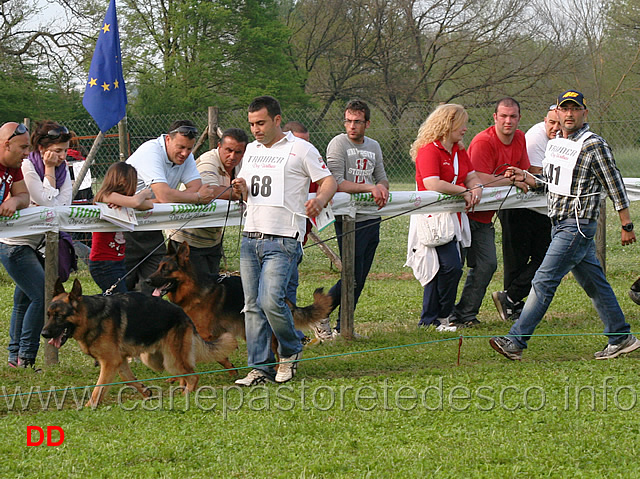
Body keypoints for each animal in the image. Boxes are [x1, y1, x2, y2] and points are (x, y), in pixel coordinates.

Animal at [42, 278, 238, 408]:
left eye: (59, 316)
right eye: (48, 315)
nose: (44, 334)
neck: (90, 316)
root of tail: (183, 314)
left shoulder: (110, 362)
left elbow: (99, 388)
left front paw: (89, 407)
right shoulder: (118, 361)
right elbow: (128, 379)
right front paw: (145, 391)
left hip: (170, 359)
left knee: (193, 375)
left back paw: (187, 395)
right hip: (154, 359)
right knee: (187, 371)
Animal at [147, 242, 332, 374]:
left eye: (166, 270)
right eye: (157, 267)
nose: (147, 281)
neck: (194, 289)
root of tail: (284, 298)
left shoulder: (205, 334)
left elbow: (219, 354)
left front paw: (231, 368)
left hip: (271, 331)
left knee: (281, 351)